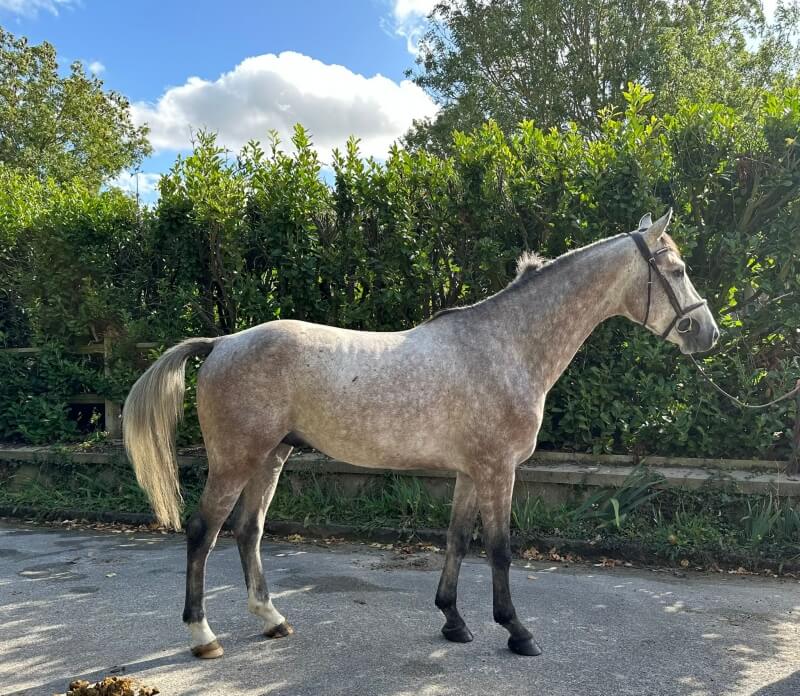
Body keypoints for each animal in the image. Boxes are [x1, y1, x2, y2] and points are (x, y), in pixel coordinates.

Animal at [123, 209, 719, 659]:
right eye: (678, 268)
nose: (707, 333)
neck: (507, 346)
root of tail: (222, 343)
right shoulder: (498, 470)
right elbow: (500, 549)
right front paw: (516, 631)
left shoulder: (470, 472)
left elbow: (456, 540)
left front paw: (453, 621)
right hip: (235, 460)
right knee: (203, 533)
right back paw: (203, 636)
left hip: (271, 458)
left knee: (249, 531)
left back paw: (272, 619)